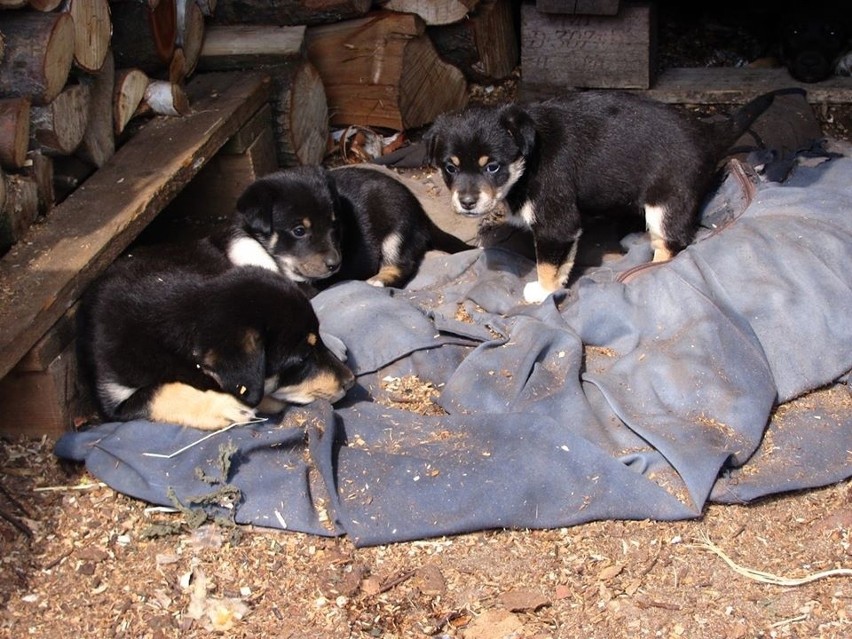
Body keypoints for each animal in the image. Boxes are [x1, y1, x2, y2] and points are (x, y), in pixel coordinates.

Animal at [220, 164, 470, 292]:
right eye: (299, 230)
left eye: (334, 224)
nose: (335, 265)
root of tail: (422, 215)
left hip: (396, 228)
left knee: (404, 264)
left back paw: (379, 280)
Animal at [426, 88, 780, 304]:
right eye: (450, 168)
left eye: (493, 166)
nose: (467, 202)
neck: (528, 158)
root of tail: (707, 133)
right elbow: (561, 261)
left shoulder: (558, 223)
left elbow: (547, 263)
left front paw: (543, 291)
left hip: (667, 204)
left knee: (671, 244)